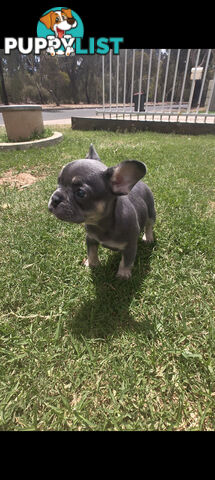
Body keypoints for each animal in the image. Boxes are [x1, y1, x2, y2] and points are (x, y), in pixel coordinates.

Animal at [48, 143, 156, 278]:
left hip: (151, 212)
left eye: (80, 193)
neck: (102, 224)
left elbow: (126, 261)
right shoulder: (90, 238)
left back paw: (148, 237)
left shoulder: (130, 246)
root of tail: (141, 183)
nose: (55, 198)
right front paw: (92, 264)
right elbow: (91, 252)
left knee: (149, 225)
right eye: (58, 183)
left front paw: (123, 275)